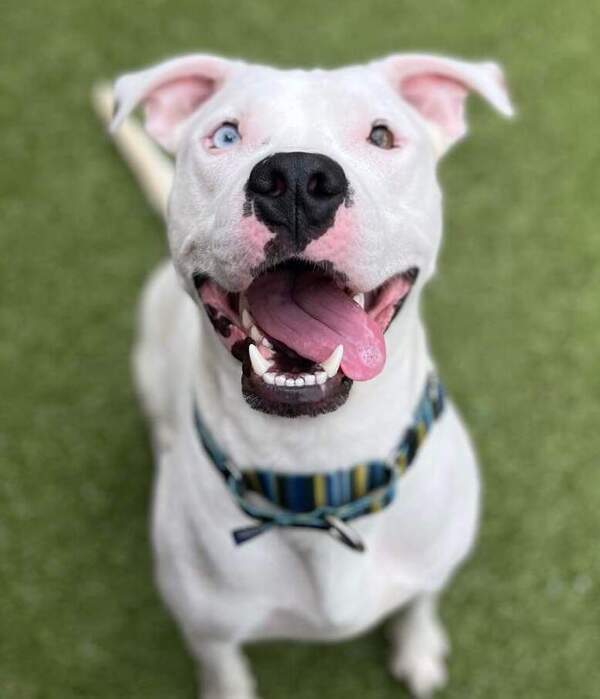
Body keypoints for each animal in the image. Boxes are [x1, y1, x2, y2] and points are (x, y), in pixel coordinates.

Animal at [93, 51, 512, 698]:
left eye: (382, 135)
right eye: (226, 135)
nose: (295, 178)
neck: (317, 473)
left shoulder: (434, 565)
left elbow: (420, 603)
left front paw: (418, 649)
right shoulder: (209, 636)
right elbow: (227, 675)